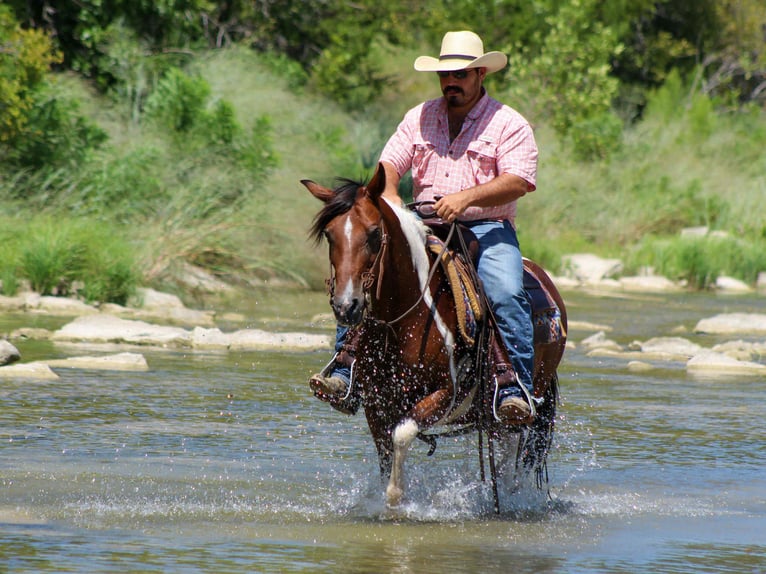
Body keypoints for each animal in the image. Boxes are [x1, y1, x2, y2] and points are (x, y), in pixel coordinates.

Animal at [302, 163, 567, 510]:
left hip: (517, 408)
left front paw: (396, 498)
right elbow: (385, 452)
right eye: (330, 235)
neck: (402, 322)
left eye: (373, 234)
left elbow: (402, 434)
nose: (347, 306)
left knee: (510, 455)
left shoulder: (444, 395)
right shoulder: (377, 404)